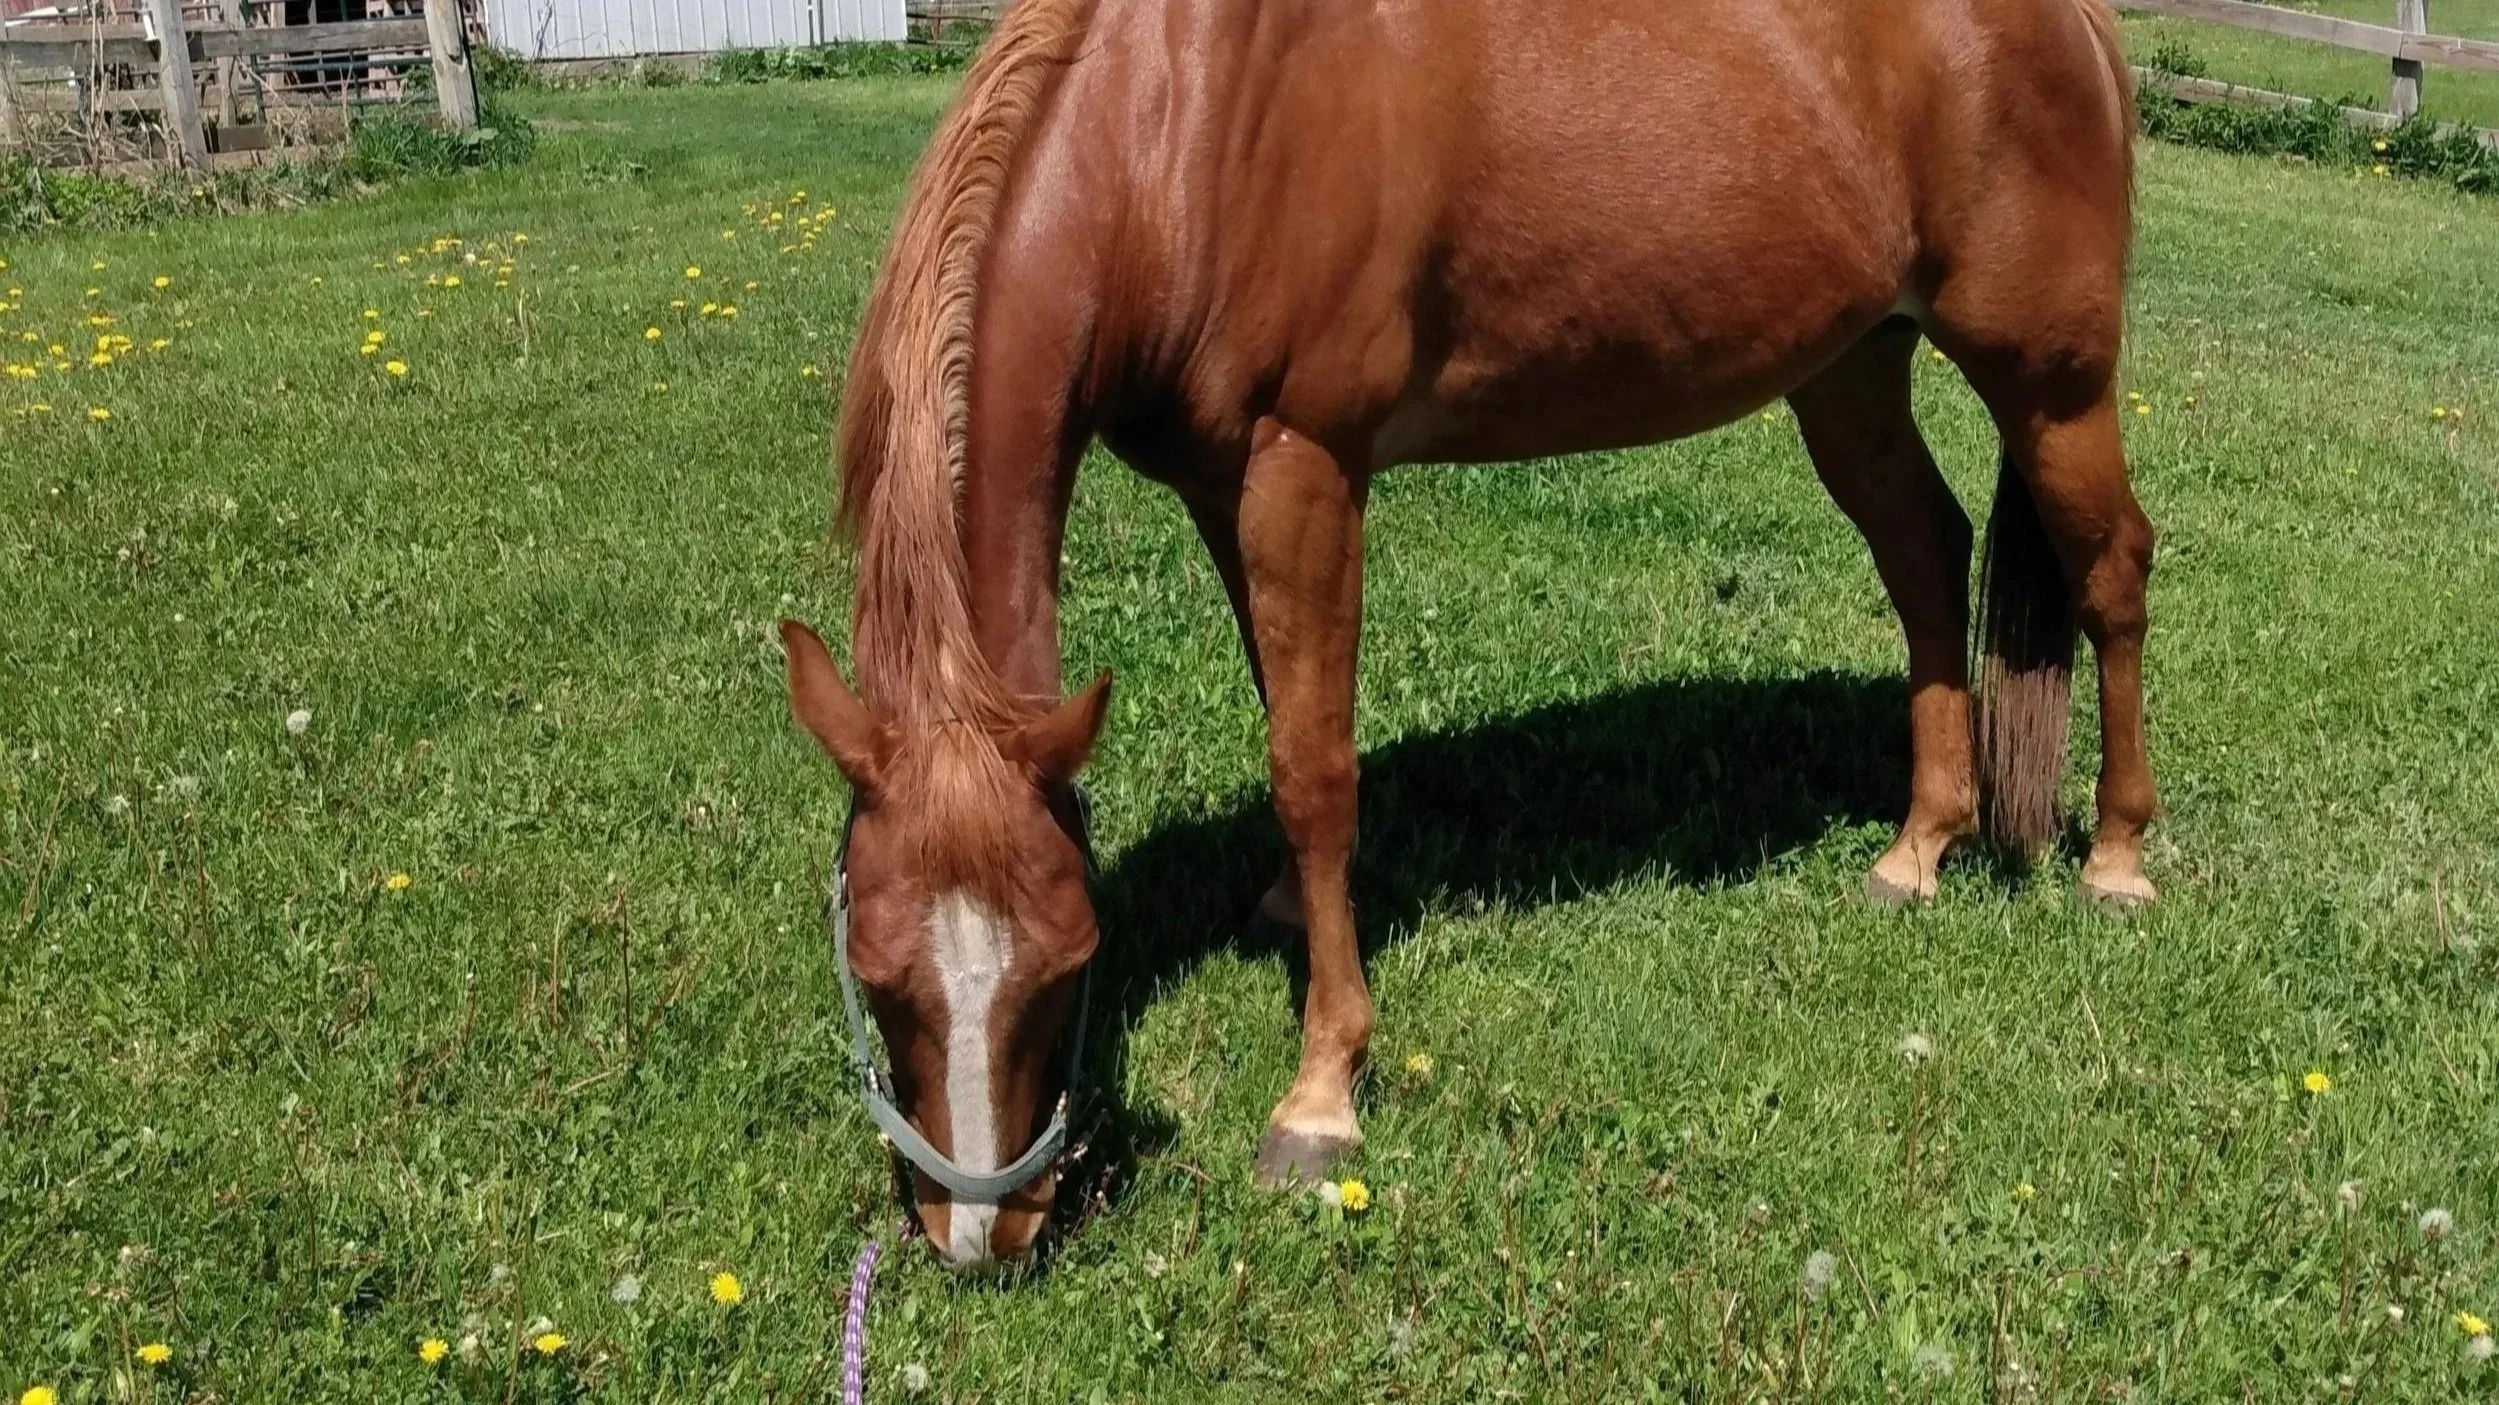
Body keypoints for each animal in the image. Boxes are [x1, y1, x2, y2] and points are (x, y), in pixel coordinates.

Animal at [779, 0, 2156, 1268]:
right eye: (876, 970)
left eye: (1068, 958)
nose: (979, 1234)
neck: (1185, 134)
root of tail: (2079, 26)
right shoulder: (1227, 490)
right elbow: (1285, 716)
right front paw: (1285, 911)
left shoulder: (1307, 466)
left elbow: (1316, 772)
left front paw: (1319, 1096)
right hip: (1853, 364)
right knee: (1924, 552)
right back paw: (1918, 847)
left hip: (2051, 381)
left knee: (2113, 575)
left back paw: (2118, 858)